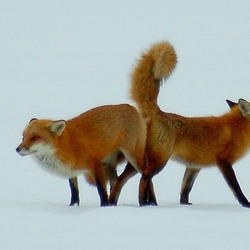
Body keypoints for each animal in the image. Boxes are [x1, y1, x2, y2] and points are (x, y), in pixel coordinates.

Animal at [15, 104, 146, 206]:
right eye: (23, 137)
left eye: (35, 138)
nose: (17, 149)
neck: (66, 146)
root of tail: (131, 107)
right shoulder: (71, 171)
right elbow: (74, 191)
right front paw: (73, 207)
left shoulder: (96, 165)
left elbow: (101, 190)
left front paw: (104, 206)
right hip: (110, 165)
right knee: (116, 183)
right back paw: (114, 203)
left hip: (132, 157)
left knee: (145, 175)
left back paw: (146, 202)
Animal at [111, 41, 250, 208]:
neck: (236, 129)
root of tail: (158, 113)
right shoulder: (224, 162)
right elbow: (236, 188)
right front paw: (246, 204)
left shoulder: (194, 166)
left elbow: (185, 189)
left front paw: (184, 205)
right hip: (159, 161)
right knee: (144, 178)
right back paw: (144, 204)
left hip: (138, 161)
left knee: (120, 179)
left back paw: (112, 204)